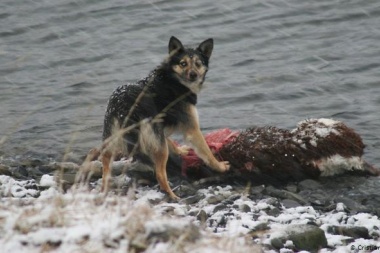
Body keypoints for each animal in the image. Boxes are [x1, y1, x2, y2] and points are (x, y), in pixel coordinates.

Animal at [100, 36, 229, 199]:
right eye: (183, 63)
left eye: (198, 63)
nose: (193, 75)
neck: (173, 78)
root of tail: (123, 107)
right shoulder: (192, 129)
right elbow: (206, 152)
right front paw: (220, 166)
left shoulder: (161, 129)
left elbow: (170, 141)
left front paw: (180, 151)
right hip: (157, 145)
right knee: (160, 174)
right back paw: (173, 196)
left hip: (111, 139)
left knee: (105, 169)